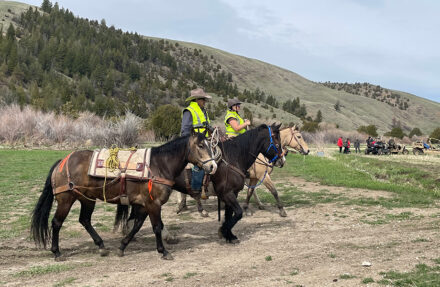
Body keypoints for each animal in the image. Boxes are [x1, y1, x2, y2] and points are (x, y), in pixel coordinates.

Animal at [30, 133, 217, 260]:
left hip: (86, 199)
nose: (213, 166)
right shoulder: (153, 204)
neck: (159, 165)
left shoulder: (142, 205)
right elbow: (156, 227)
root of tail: (62, 162)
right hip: (66, 200)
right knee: (56, 223)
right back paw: (57, 252)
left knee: (84, 220)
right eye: (201, 145)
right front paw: (163, 251)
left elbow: (136, 225)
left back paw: (101, 246)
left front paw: (122, 247)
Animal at [115, 123, 284, 245]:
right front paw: (223, 231)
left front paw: (229, 236)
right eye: (276, 142)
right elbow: (238, 214)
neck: (233, 157)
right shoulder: (227, 194)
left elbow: (230, 214)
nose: (281, 160)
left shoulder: (232, 194)